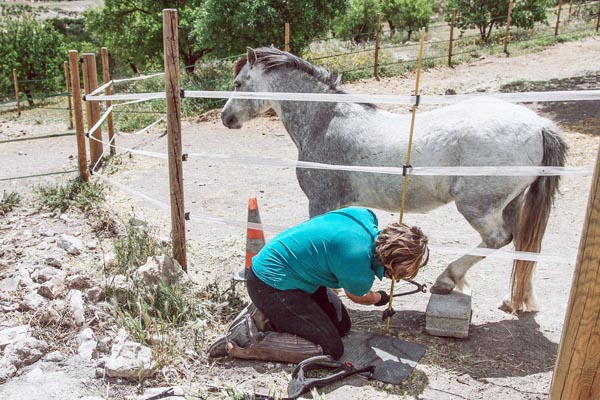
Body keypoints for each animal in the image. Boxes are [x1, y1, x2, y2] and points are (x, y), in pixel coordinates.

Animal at [220, 45, 568, 310]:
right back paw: (516, 301)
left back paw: (446, 280)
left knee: (498, 239)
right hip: (511, 203)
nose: (226, 118)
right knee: (524, 245)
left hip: (477, 206)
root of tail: (540, 126)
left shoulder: (320, 200)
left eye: (238, 83)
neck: (325, 121)